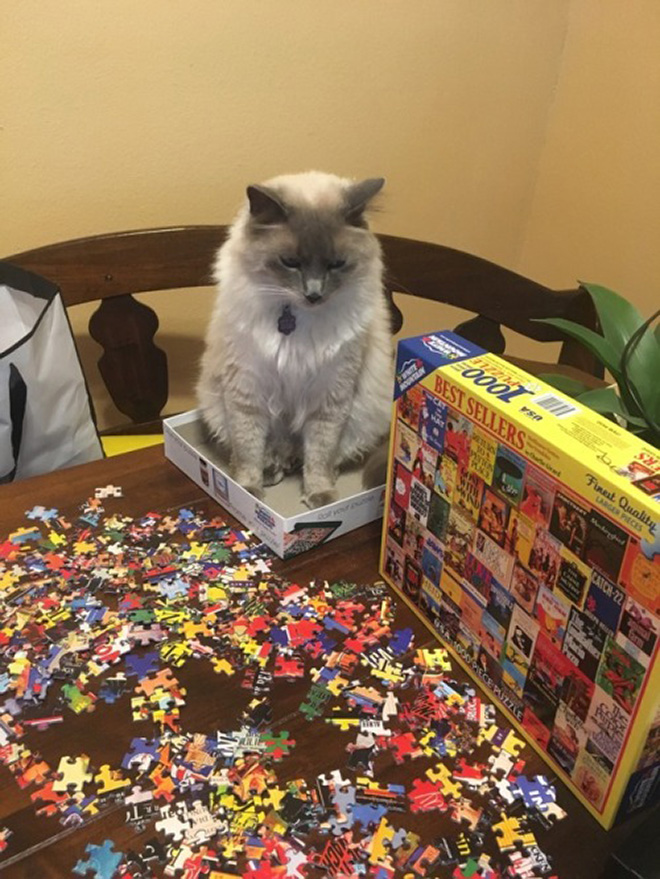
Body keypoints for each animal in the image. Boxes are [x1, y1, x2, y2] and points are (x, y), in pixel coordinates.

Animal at [196, 170, 392, 508]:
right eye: (290, 262)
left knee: (320, 456)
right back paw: (272, 470)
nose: (314, 295)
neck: (296, 318)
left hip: (364, 414)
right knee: (264, 451)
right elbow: (248, 450)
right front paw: (248, 492)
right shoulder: (248, 391)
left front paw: (320, 497)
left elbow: (320, 454)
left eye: (336, 264)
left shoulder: (330, 398)